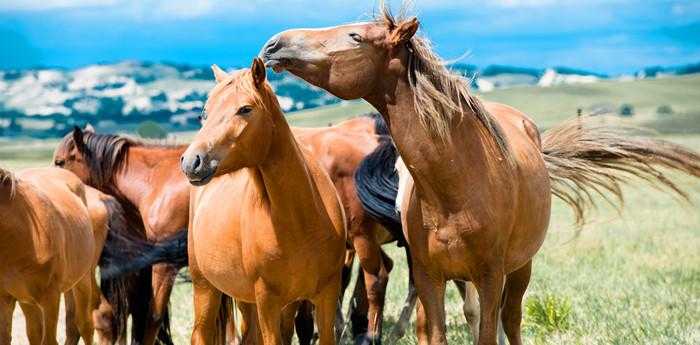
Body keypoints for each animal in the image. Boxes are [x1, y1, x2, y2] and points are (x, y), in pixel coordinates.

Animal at [0, 165, 97, 342]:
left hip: (82, 281)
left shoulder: (50, 298)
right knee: (35, 333)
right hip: (27, 300)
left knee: (85, 326)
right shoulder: (5, 299)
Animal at [179, 58, 346, 344]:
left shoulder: (325, 295)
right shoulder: (268, 301)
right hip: (205, 287)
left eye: (245, 109)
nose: (192, 161)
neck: (301, 221)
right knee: (200, 333)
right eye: (204, 113)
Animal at [260, 6, 700, 344]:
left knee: (511, 321)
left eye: (354, 36)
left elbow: (488, 331)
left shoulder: (490, 276)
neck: (455, 186)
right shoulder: (431, 277)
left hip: (519, 269)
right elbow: (436, 331)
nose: (273, 44)